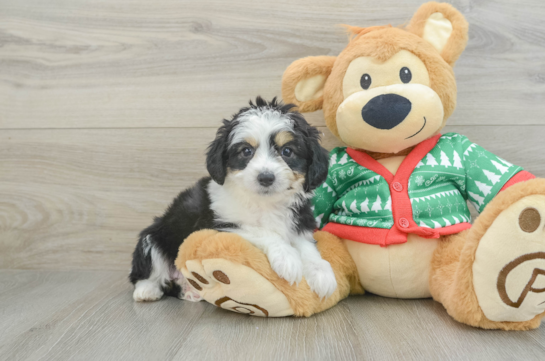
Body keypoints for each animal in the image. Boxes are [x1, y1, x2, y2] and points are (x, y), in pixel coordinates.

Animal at [131, 95, 336, 300]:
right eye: (246, 151)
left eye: (287, 151)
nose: (266, 177)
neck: (265, 203)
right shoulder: (220, 224)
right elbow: (262, 232)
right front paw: (287, 257)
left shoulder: (299, 221)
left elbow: (306, 246)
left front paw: (321, 273)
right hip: (154, 237)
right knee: (146, 271)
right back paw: (147, 291)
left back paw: (189, 290)